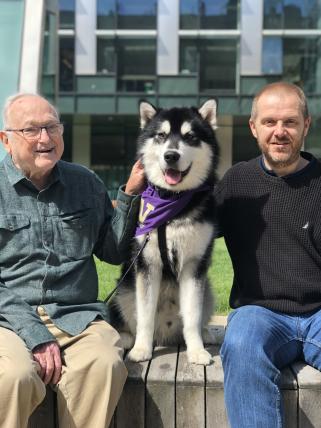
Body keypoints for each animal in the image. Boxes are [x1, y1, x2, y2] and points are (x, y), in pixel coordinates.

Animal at [109, 99, 218, 364]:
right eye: (161, 135)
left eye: (190, 137)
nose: (171, 155)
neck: (172, 204)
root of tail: (166, 334)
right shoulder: (147, 264)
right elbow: (145, 315)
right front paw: (141, 349)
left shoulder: (194, 264)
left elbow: (192, 315)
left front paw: (197, 350)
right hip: (124, 289)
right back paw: (126, 337)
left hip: (208, 288)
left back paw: (205, 333)